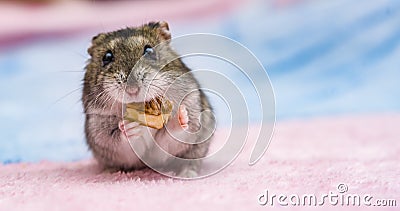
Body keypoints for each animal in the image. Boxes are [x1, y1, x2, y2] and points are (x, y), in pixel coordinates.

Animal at [82, 21, 216, 177]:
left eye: (149, 50)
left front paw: (180, 116)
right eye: (107, 57)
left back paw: (186, 173)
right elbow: (123, 144)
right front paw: (129, 126)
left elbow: (171, 136)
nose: (132, 89)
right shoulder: (101, 130)